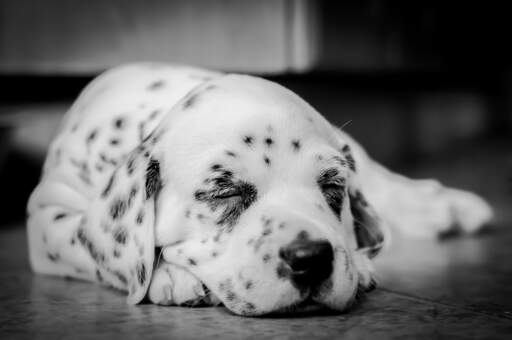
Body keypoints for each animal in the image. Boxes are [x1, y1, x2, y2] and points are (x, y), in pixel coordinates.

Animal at [26, 63, 494, 316]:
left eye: (332, 186)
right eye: (225, 194)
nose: (311, 259)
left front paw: (358, 262)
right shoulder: (47, 215)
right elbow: (93, 251)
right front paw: (168, 277)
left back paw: (444, 206)